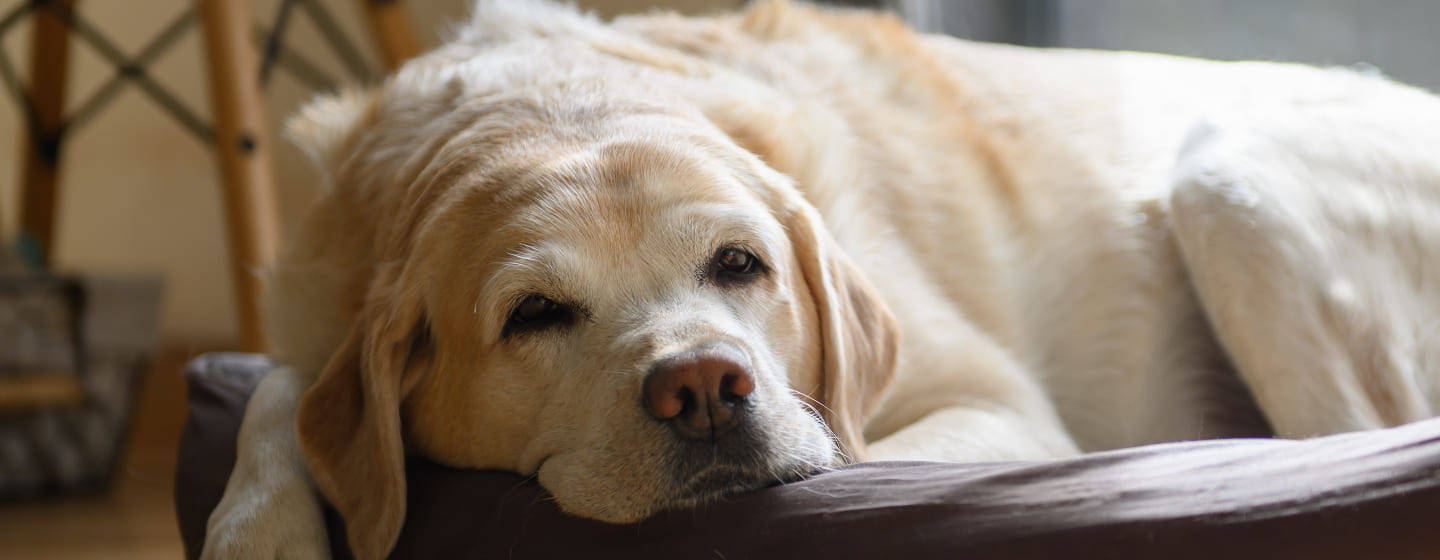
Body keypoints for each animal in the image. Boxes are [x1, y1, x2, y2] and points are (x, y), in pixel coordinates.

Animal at [200, 2, 1440, 555]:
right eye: (534, 314)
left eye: (739, 263)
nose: (703, 385)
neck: (557, 100)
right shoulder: (316, 308)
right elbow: (280, 394)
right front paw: (259, 526)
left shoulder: (995, 403)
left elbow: (855, 453)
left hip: (1233, 189)